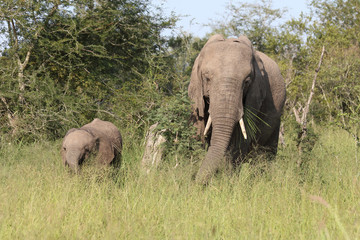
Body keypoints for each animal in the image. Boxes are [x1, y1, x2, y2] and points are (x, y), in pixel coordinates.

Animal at [188, 34, 286, 184]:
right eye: (207, 78)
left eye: (247, 82)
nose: (196, 183)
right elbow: (198, 133)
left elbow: (239, 141)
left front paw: (227, 182)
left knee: (264, 154)